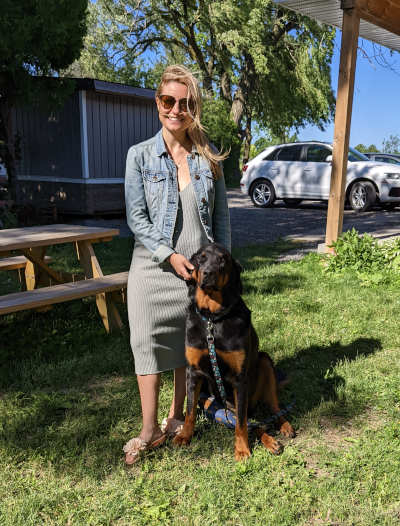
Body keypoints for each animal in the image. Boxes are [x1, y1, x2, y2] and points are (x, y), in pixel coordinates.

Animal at [173, 243, 295, 461]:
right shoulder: (193, 372)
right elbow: (189, 411)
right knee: (252, 421)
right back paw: (270, 441)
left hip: (264, 363)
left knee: (269, 409)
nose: (208, 273)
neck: (213, 319)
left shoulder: (240, 378)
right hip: (212, 402)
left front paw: (242, 449)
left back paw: (283, 427)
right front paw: (185, 436)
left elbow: (240, 422)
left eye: (223, 259)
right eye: (201, 258)